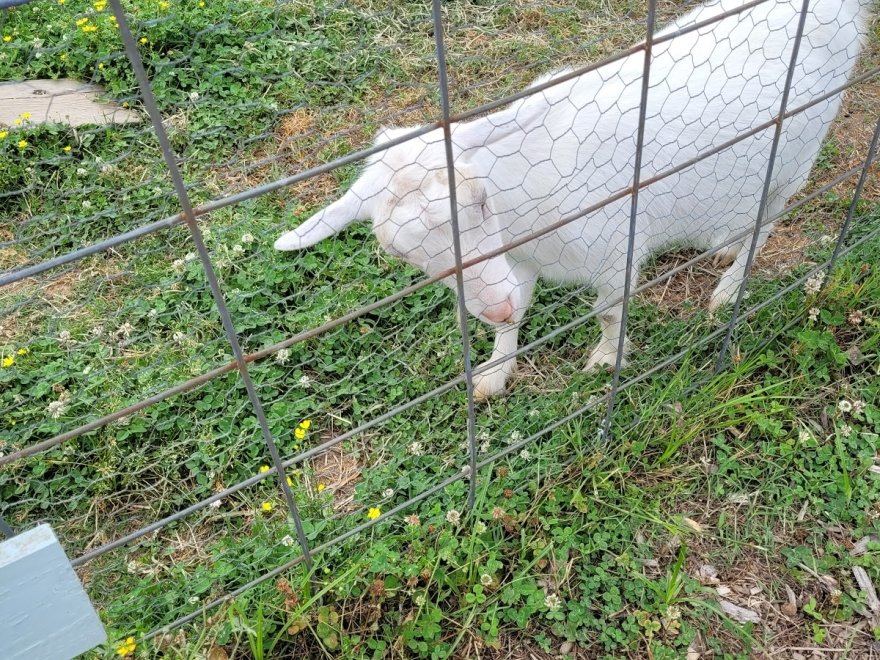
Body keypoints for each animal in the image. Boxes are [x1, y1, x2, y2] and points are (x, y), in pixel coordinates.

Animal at [278, 0, 868, 400]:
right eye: (401, 254)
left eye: (480, 203)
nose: (491, 304)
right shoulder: (515, 262)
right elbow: (513, 318)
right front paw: (494, 372)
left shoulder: (615, 249)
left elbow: (608, 312)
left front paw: (607, 360)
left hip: (796, 157)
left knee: (769, 218)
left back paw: (729, 285)